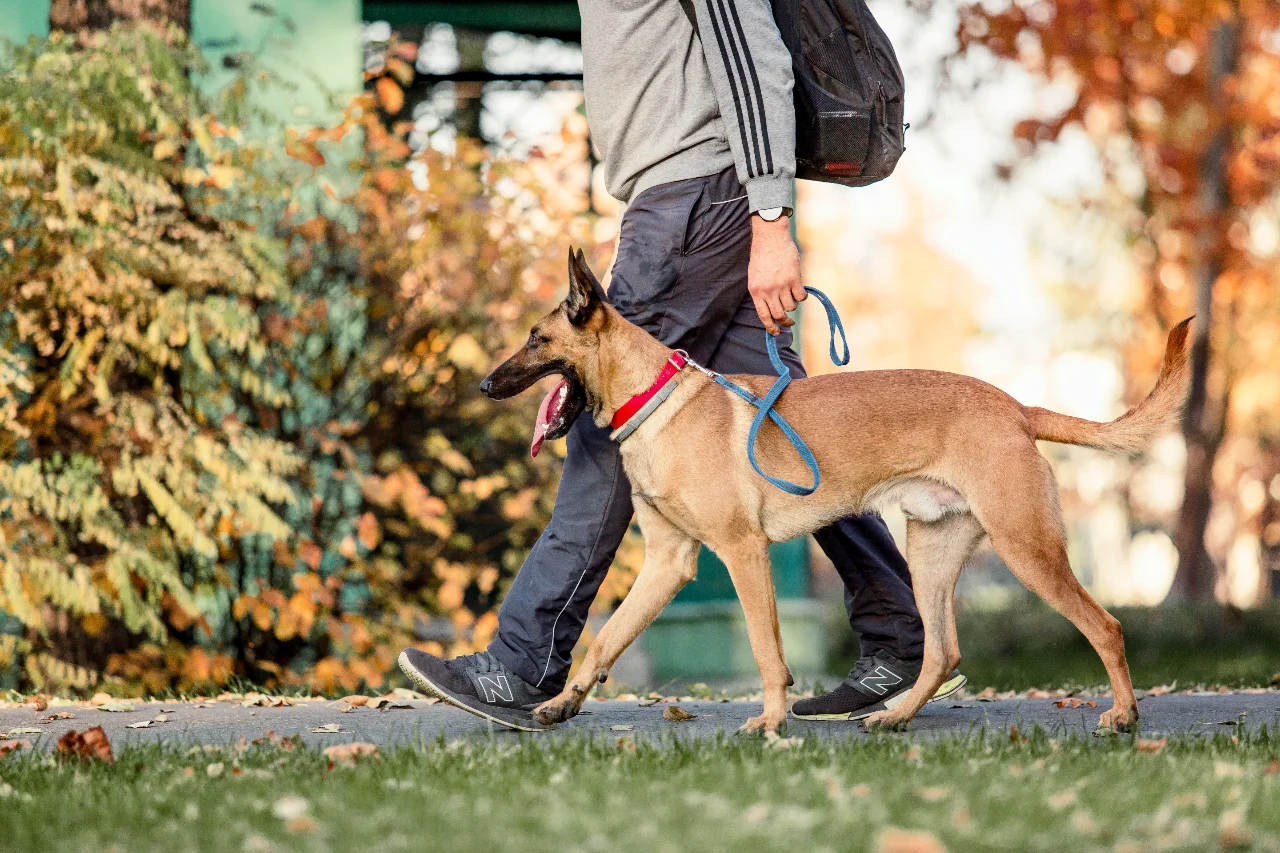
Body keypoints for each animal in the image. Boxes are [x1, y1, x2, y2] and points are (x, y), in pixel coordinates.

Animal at [481, 247, 1187, 732]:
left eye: (537, 340)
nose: (485, 385)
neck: (654, 399)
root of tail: (1016, 407)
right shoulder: (669, 561)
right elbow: (607, 637)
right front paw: (563, 702)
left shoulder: (742, 553)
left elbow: (766, 649)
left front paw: (771, 721)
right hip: (931, 556)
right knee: (943, 650)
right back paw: (895, 717)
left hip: (1026, 548)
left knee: (1105, 626)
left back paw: (1124, 716)